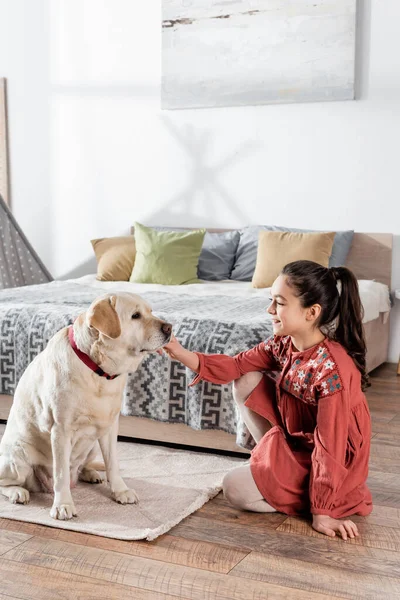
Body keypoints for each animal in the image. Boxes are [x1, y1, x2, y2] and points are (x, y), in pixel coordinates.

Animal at [0, 292, 170, 516]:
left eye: (150, 311)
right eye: (135, 315)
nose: (170, 328)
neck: (97, 370)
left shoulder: (110, 427)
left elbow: (112, 464)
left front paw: (120, 491)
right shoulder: (60, 430)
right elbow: (61, 473)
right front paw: (63, 505)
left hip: (92, 446)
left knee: (82, 467)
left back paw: (91, 474)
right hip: (18, 456)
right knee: (6, 482)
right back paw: (18, 492)